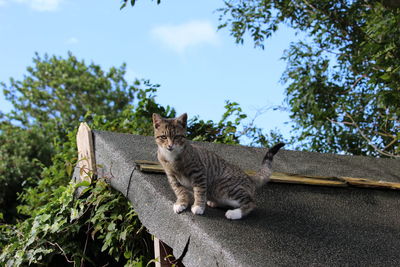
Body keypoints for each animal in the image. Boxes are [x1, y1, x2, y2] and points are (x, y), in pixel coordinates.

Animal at [153, 113, 284, 220]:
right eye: (164, 137)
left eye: (176, 137)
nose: (170, 146)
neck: (172, 158)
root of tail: (249, 177)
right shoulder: (172, 177)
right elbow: (179, 191)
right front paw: (181, 203)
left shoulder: (199, 173)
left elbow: (199, 191)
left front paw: (198, 206)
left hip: (224, 187)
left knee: (251, 203)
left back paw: (235, 213)